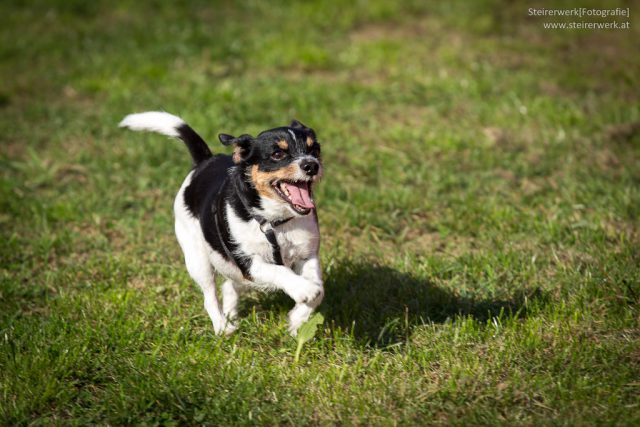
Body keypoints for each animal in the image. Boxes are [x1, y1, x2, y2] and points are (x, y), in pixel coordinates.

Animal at [119, 112, 324, 336]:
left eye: (314, 149)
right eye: (277, 154)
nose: (312, 165)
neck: (275, 222)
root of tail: (205, 161)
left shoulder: (307, 254)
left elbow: (320, 291)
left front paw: (297, 320)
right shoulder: (248, 263)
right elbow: (281, 272)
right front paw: (304, 289)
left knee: (229, 286)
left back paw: (230, 315)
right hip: (198, 260)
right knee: (209, 297)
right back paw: (222, 326)